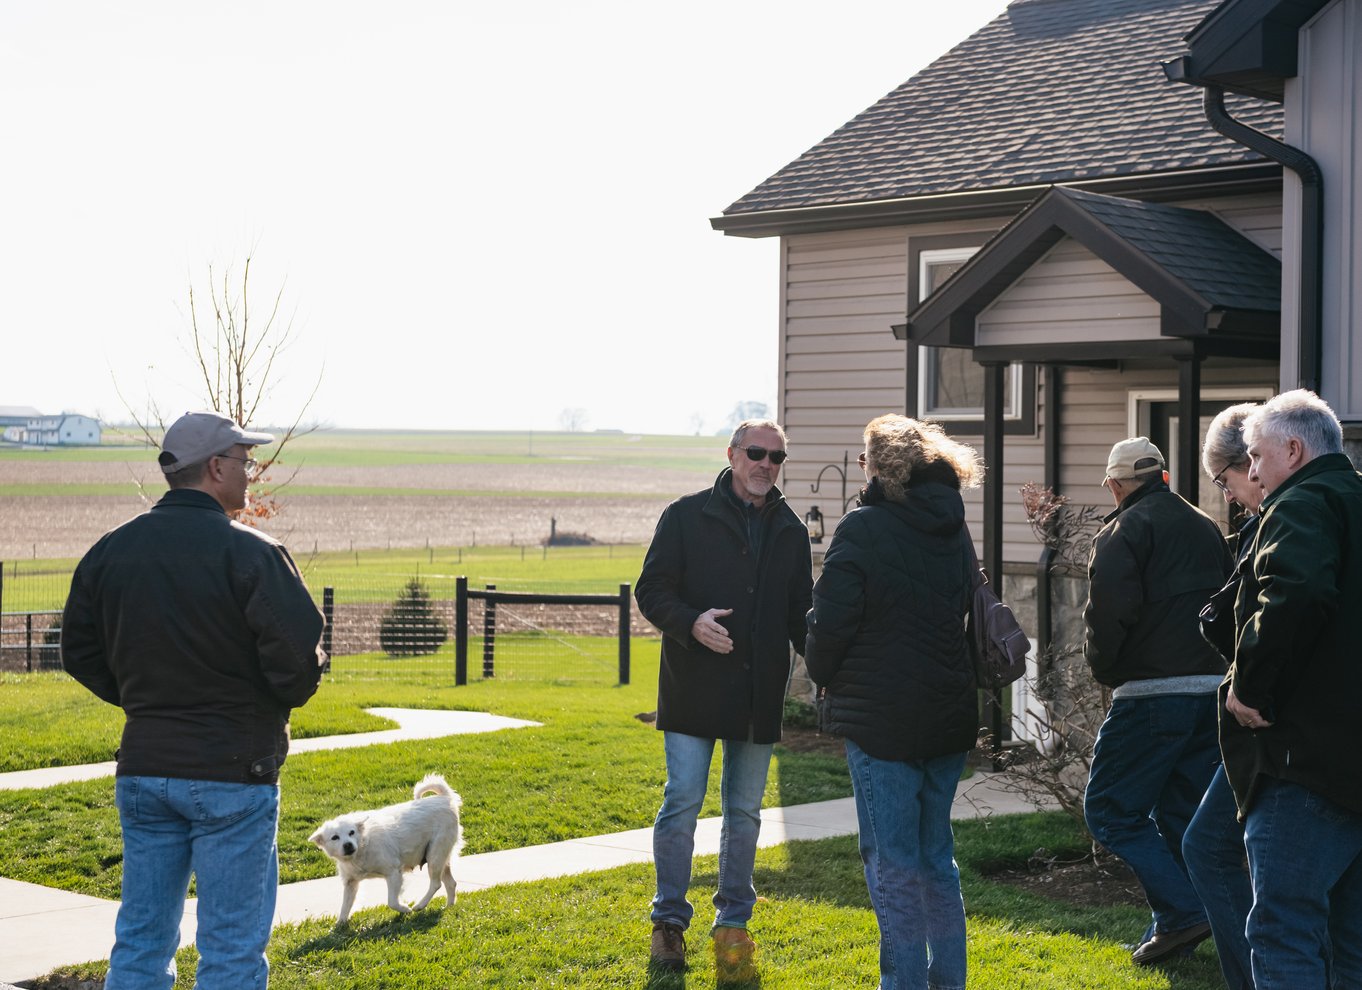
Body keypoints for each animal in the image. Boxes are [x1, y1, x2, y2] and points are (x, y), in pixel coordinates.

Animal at [309, 768, 463, 925]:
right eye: (335, 837)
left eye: (351, 832)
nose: (348, 845)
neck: (363, 845)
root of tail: (445, 798)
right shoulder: (350, 883)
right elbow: (345, 907)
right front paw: (339, 925)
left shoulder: (393, 873)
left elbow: (392, 902)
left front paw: (405, 909)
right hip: (441, 858)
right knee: (451, 883)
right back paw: (448, 907)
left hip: (435, 856)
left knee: (436, 884)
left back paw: (420, 905)